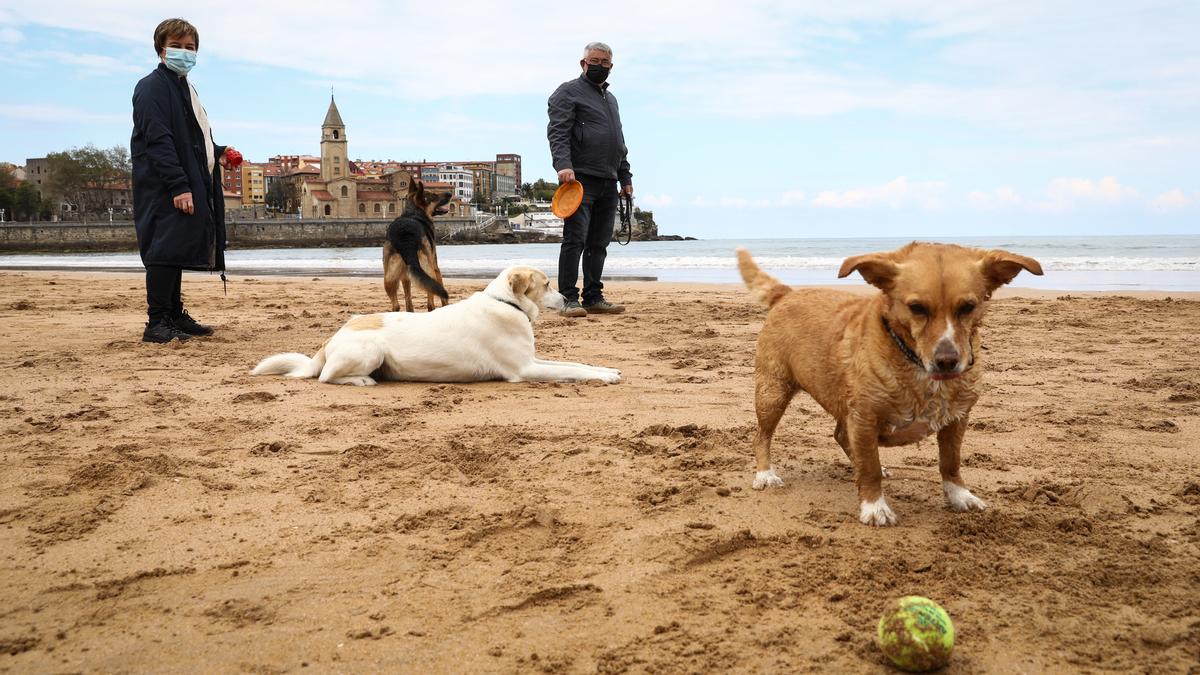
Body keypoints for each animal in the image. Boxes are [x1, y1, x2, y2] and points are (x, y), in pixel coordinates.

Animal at [384, 177, 453, 312]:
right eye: (433, 195)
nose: (450, 193)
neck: (413, 213)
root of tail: (406, 237)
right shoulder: (436, 267)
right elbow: (442, 294)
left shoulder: (405, 276)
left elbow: (408, 299)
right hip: (429, 270)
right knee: (430, 303)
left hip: (389, 277)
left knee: (396, 306)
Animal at [734, 241, 1036, 526]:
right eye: (917, 308)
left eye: (968, 307)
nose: (947, 361)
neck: (913, 362)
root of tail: (788, 293)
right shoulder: (864, 418)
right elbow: (869, 470)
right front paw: (874, 507)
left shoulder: (956, 419)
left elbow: (950, 462)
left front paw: (960, 495)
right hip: (772, 393)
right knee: (762, 437)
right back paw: (765, 474)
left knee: (841, 436)